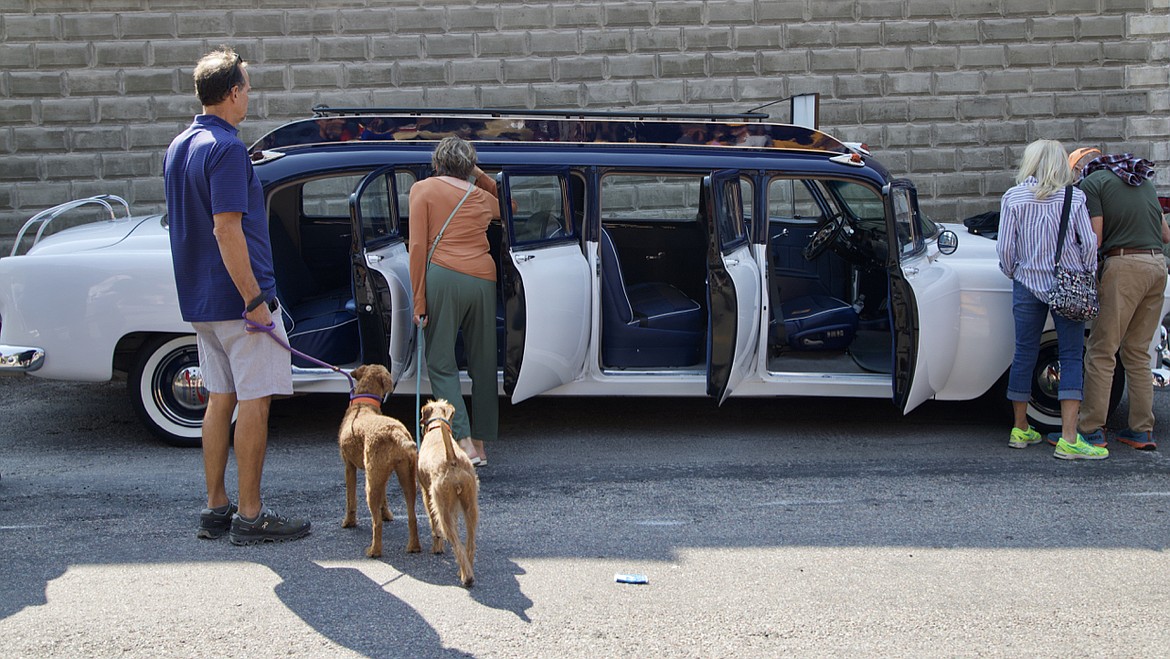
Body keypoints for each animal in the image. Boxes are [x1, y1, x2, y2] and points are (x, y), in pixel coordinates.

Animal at [339, 362, 421, 559]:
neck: (362, 404)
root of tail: (395, 433)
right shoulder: (381, 476)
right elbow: (384, 499)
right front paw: (387, 514)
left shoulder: (349, 467)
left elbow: (350, 499)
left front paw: (349, 522)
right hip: (406, 478)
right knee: (412, 516)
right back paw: (413, 546)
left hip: (371, 484)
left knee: (376, 523)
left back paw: (374, 551)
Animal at [416, 400, 479, 585]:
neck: (437, 426)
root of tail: (452, 459)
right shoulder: (455, 506)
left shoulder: (426, 494)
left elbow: (433, 525)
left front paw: (437, 548)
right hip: (470, 507)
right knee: (469, 544)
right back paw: (465, 571)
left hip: (442, 508)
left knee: (455, 542)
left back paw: (466, 577)